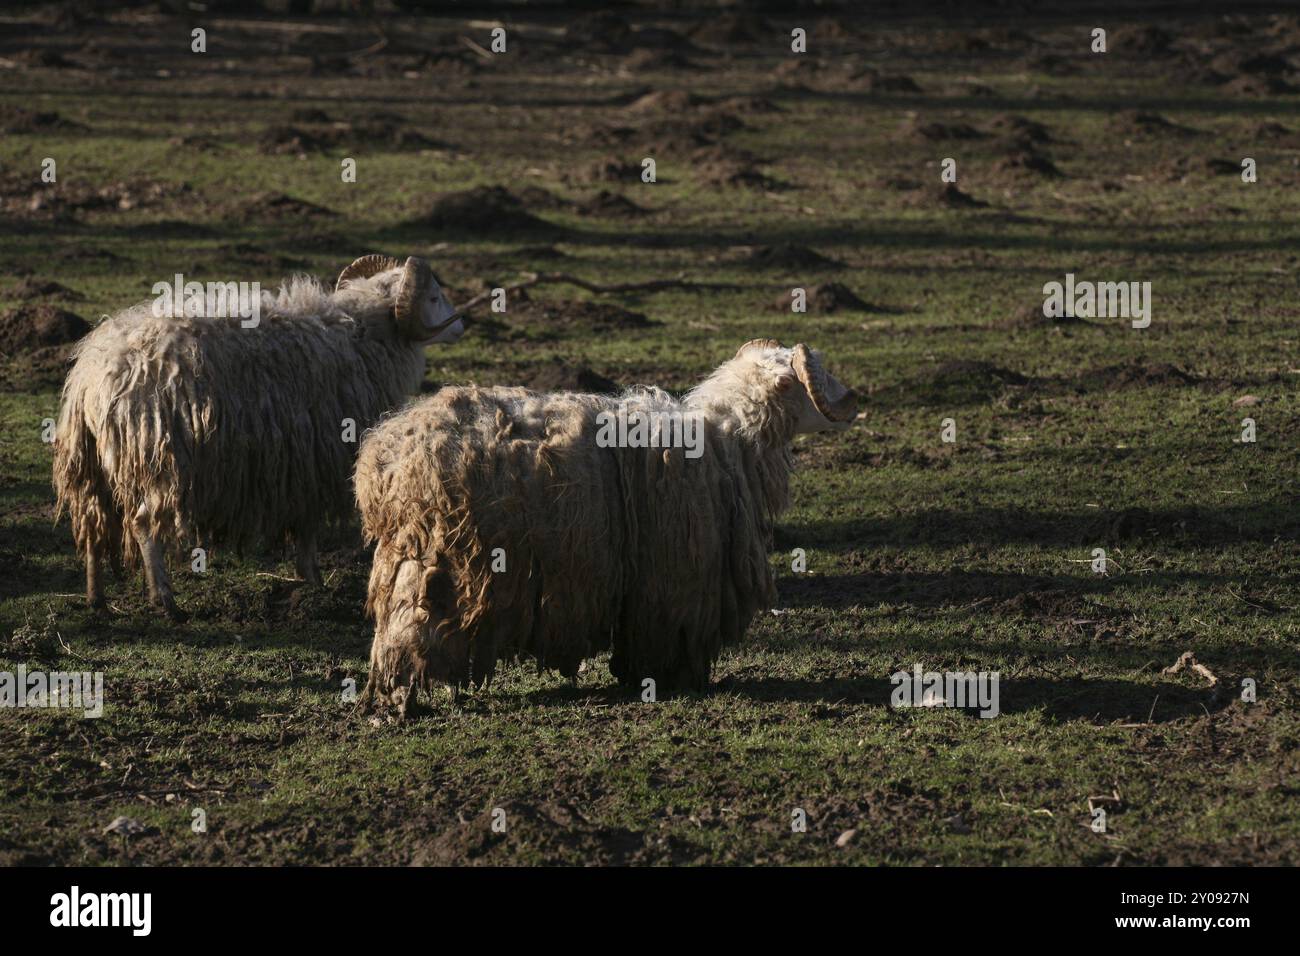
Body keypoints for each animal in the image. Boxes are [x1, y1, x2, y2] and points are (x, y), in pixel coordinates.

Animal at [53, 254, 464, 619]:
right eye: (432, 297)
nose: (460, 326)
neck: (363, 336)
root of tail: (92, 375)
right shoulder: (315, 461)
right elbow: (307, 528)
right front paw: (314, 584)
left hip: (91, 465)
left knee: (93, 526)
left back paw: (96, 599)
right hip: (162, 462)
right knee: (143, 525)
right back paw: (165, 601)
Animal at [355, 338, 857, 714]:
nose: (853, 402)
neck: (728, 439)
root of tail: (384, 456)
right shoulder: (672, 580)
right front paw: (667, 679)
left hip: (412, 557)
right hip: (437, 559)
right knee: (408, 630)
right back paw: (403, 700)